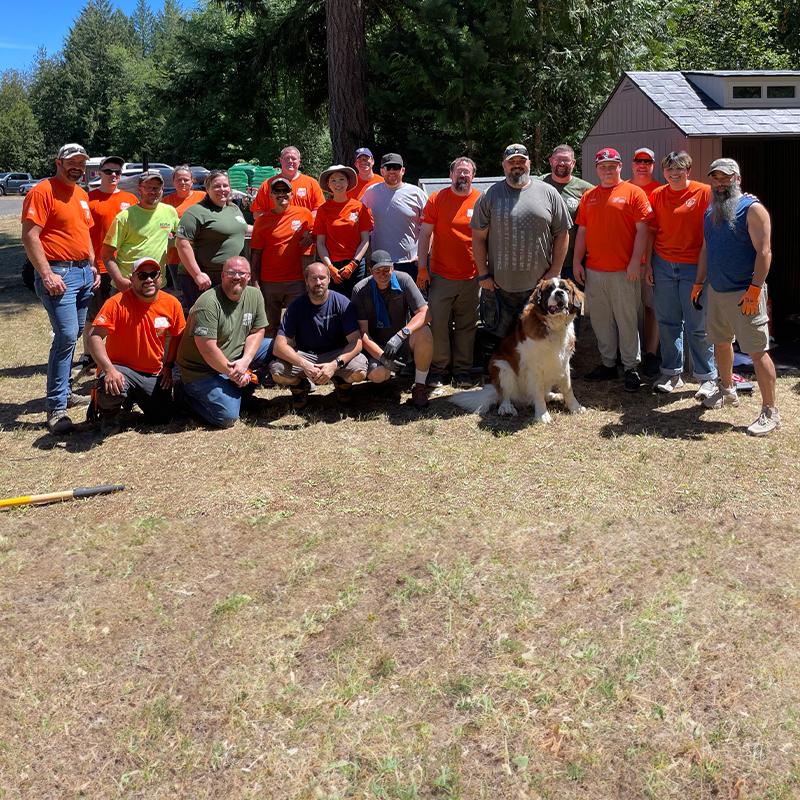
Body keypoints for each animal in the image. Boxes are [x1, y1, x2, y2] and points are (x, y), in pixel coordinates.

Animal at [454, 276, 584, 422]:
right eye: (549, 289)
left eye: (565, 289)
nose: (559, 293)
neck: (553, 326)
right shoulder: (535, 367)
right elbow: (538, 391)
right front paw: (542, 415)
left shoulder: (564, 362)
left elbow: (568, 388)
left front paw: (575, 408)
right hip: (502, 367)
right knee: (505, 396)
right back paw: (506, 408)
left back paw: (553, 396)